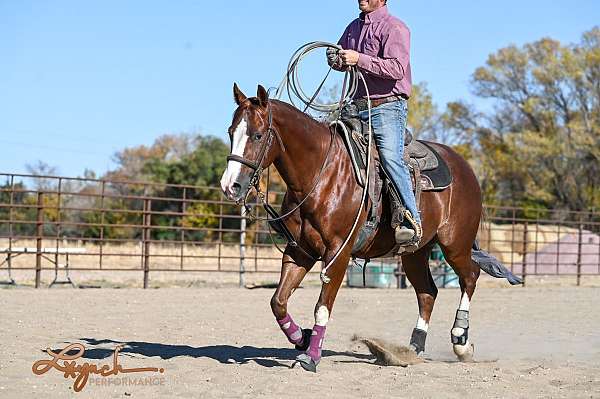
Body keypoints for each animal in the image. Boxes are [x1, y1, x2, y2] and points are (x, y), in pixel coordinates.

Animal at [220, 83, 516, 372]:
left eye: (258, 135)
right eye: (231, 132)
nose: (229, 185)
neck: (321, 174)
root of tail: (465, 167)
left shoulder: (338, 252)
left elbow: (322, 307)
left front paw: (311, 357)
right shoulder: (299, 251)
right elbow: (278, 302)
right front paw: (302, 338)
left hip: (455, 244)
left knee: (470, 277)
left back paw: (460, 341)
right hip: (415, 253)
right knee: (428, 292)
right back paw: (410, 350)